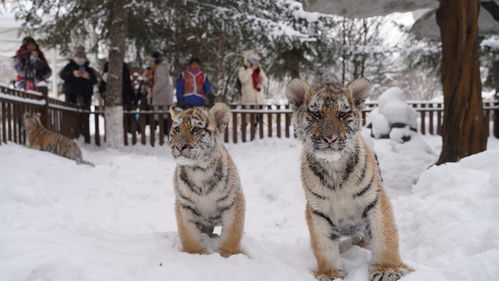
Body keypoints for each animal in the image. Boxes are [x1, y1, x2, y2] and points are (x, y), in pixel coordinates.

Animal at [169, 103, 245, 256]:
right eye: (176, 129)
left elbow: (232, 232)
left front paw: (229, 254)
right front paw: (196, 253)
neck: (199, 170)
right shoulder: (184, 204)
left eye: (196, 129)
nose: (179, 146)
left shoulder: (234, 200)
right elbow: (188, 234)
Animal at [288, 78, 412, 280]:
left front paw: (388, 269)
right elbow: (323, 245)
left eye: (342, 114)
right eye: (316, 113)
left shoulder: (376, 199)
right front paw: (329, 274)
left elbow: (385, 235)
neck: (334, 168)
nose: (330, 138)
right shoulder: (317, 210)